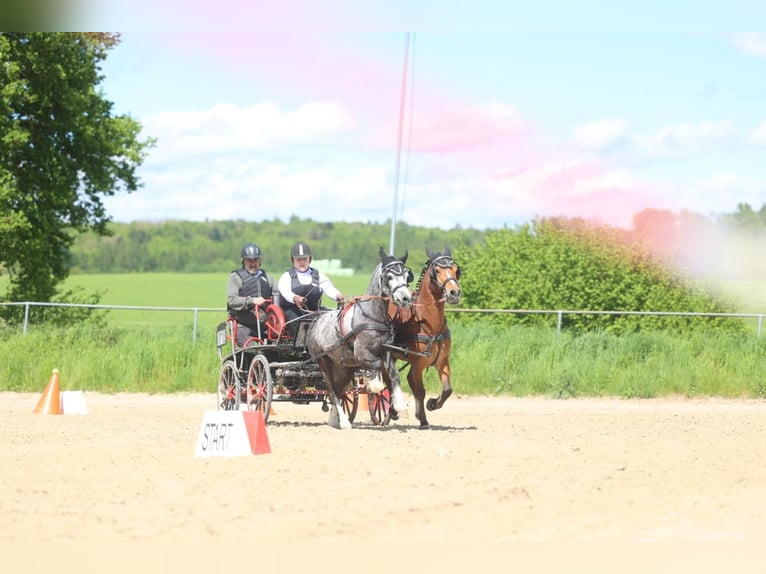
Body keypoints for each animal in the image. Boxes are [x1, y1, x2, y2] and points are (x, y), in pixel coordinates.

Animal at [306, 248, 414, 432]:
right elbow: (377, 368)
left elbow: (394, 375)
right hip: (324, 363)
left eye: (407, 276)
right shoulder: (363, 355)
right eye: (389, 276)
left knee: (338, 390)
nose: (406, 298)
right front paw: (372, 387)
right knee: (332, 391)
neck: (373, 317)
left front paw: (399, 406)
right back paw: (344, 422)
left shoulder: (386, 352)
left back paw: (334, 420)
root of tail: (316, 321)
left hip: (345, 368)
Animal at [390, 245, 462, 430]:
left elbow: (447, 389)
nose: (454, 292)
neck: (429, 324)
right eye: (436, 270)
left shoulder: (442, 361)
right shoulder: (417, 364)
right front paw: (423, 419)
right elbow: (420, 390)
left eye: (456, 269)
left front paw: (432, 404)